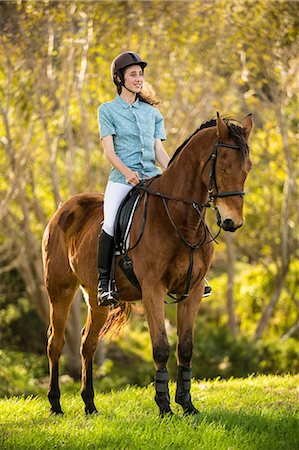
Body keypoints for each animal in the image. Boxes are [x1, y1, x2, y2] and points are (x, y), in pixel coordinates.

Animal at [42, 112, 253, 414]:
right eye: (223, 168)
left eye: (247, 168)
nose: (232, 222)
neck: (180, 220)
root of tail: (63, 208)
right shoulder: (153, 289)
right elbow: (161, 347)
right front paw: (164, 406)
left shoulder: (193, 291)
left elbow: (185, 347)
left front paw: (187, 404)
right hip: (60, 290)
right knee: (55, 342)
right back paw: (55, 404)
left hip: (95, 297)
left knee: (87, 343)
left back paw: (90, 404)